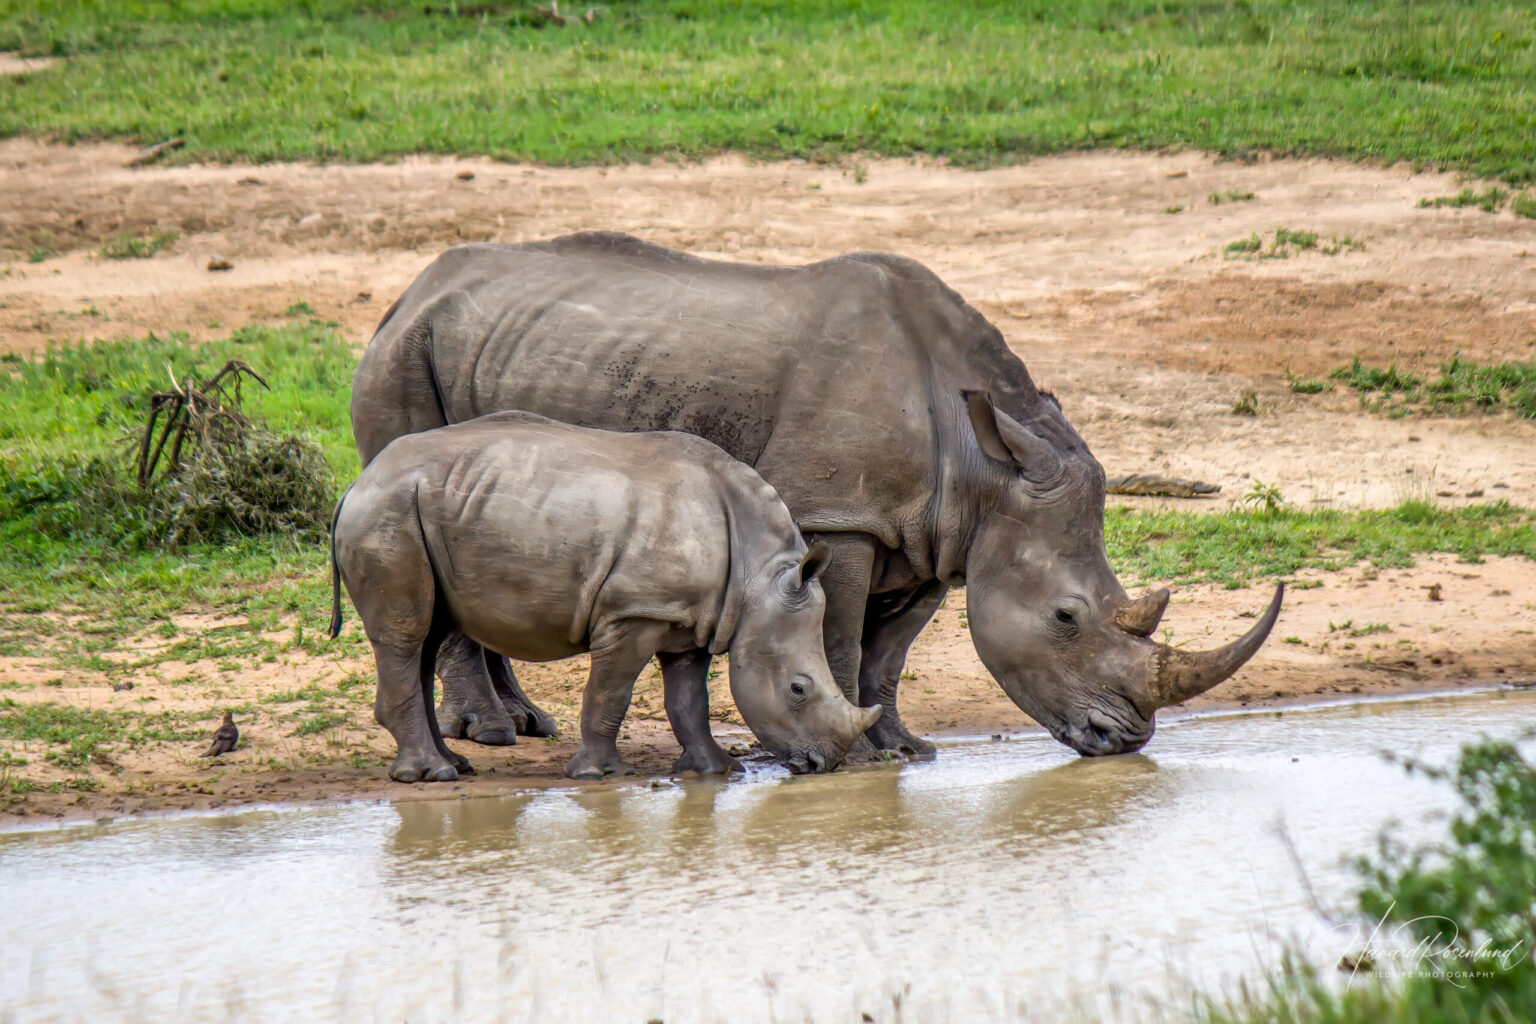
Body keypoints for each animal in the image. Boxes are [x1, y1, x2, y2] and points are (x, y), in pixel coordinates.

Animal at [328, 411, 880, 782]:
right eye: (798, 689)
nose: (824, 764)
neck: (757, 576)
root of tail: (357, 483)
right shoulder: (634, 614)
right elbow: (610, 692)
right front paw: (598, 775)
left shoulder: (689, 618)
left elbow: (689, 699)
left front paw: (713, 771)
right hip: (388, 515)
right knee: (406, 636)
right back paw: (431, 775)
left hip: (422, 508)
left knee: (427, 634)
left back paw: (454, 766)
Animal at [352, 232, 1283, 759]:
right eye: (1066, 617)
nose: (1124, 740)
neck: (985, 468)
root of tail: (406, 293)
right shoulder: (841, 516)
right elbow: (838, 633)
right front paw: (864, 753)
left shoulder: (938, 538)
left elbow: (887, 653)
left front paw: (903, 748)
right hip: (405, 360)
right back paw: (493, 735)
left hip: (473, 346)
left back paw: (522, 726)